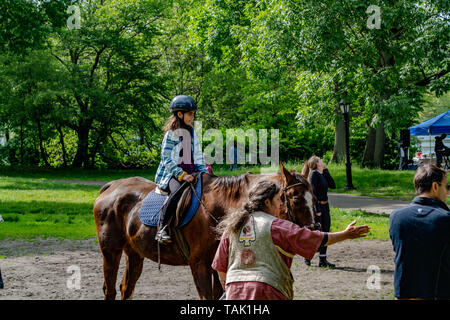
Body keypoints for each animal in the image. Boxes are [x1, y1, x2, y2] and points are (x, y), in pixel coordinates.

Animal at [91, 162, 316, 300]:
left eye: (313, 198)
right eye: (295, 197)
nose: (313, 230)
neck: (218, 208)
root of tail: (111, 187)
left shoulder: (218, 263)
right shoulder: (199, 264)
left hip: (135, 253)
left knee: (126, 288)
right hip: (110, 252)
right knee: (109, 289)